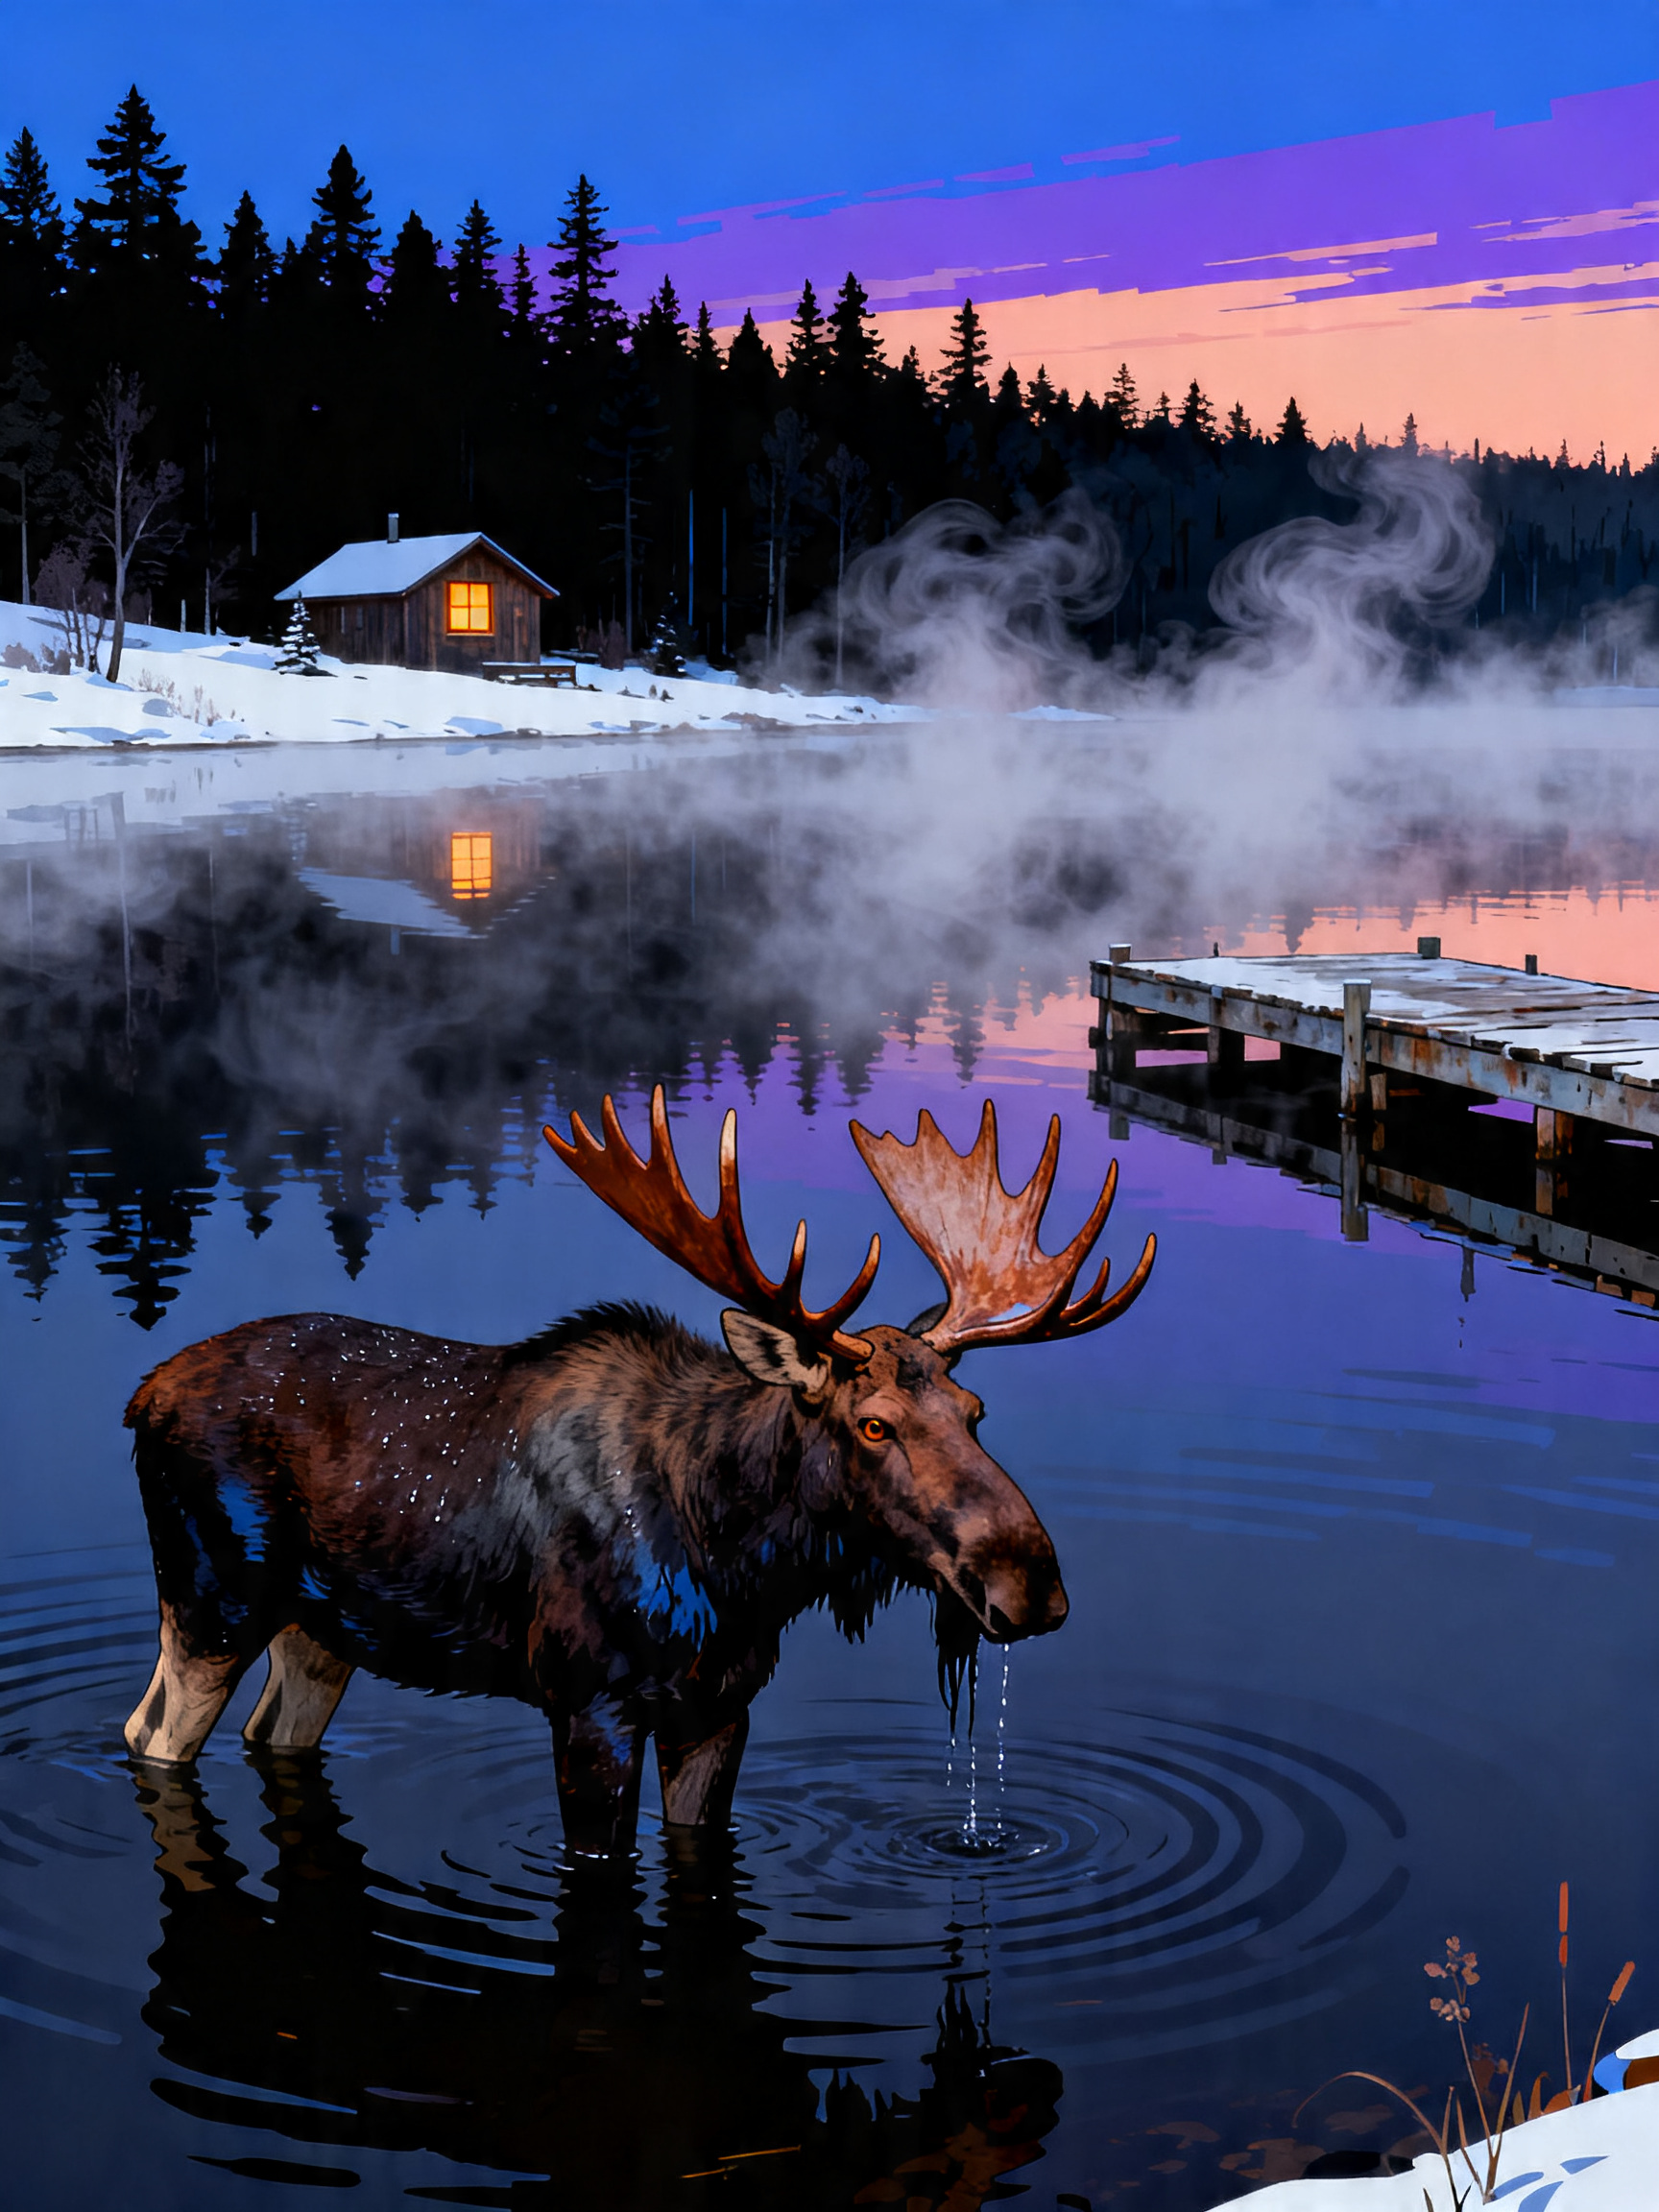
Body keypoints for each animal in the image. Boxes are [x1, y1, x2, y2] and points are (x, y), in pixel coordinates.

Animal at [123, 1091, 1154, 1857]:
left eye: (974, 1412)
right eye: (873, 1424)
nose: (1031, 1583)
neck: (739, 1565)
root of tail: (141, 1395)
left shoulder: (721, 1708)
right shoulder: (589, 1701)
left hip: (323, 1628)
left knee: (269, 1732)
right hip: (211, 1598)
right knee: (150, 1735)